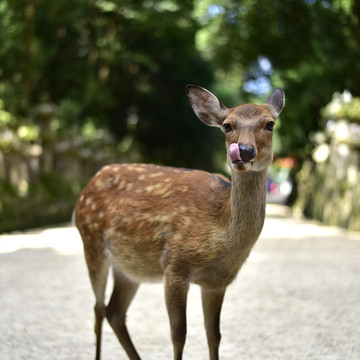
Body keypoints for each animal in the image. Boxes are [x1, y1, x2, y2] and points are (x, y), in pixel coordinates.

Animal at [74, 84, 286, 360]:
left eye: (270, 123)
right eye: (227, 126)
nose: (245, 151)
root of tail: (85, 190)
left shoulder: (218, 281)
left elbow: (214, 335)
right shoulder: (174, 265)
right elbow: (178, 334)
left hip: (129, 268)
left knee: (114, 312)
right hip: (91, 243)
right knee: (98, 308)